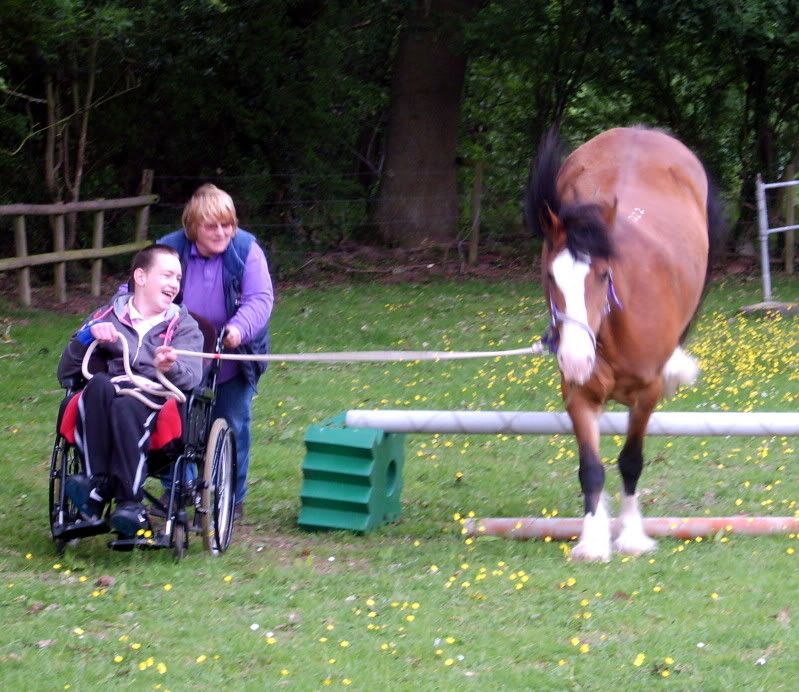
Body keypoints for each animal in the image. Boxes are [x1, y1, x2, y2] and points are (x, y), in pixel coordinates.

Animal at [525, 126, 723, 562]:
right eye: (550, 275)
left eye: (603, 274)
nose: (575, 357)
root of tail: (642, 131)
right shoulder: (578, 393)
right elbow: (590, 468)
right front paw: (593, 539)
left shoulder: (646, 394)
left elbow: (631, 461)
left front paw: (632, 536)